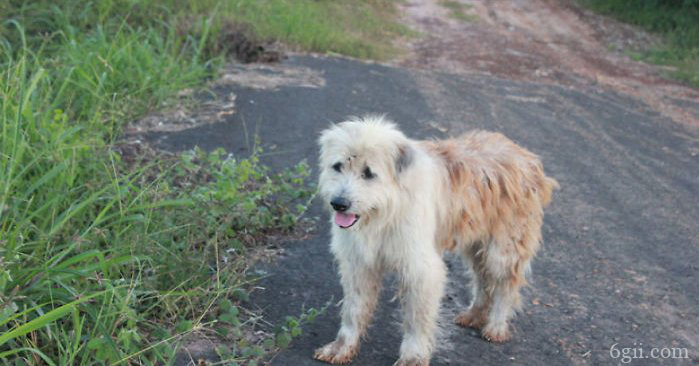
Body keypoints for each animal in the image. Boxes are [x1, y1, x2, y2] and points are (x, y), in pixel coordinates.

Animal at [312, 116, 556, 366]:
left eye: (369, 173)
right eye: (338, 166)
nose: (339, 204)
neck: (386, 211)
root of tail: (524, 155)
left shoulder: (421, 270)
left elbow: (417, 319)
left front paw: (413, 356)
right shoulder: (358, 264)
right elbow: (353, 310)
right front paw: (341, 347)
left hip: (503, 250)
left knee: (504, 285)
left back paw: (496, 326)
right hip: (476, 245)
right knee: (482, 280)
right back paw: (474, 315)